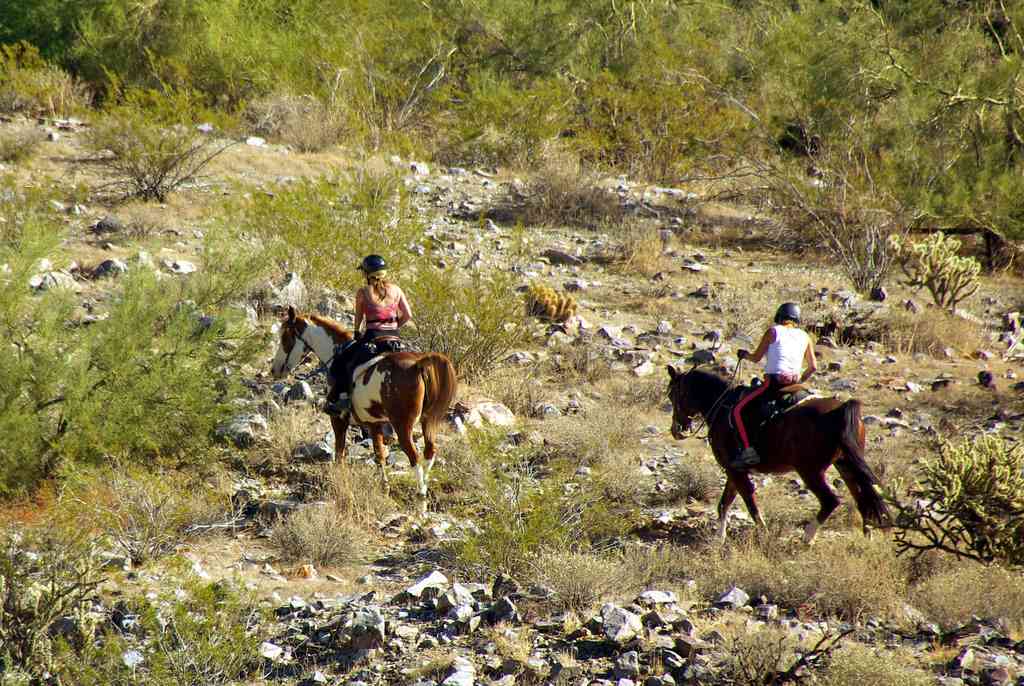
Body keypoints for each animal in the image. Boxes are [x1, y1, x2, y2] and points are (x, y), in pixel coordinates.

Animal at [276, 309, 460, 501]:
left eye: (285, 338)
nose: (275, 370)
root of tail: (418, 364)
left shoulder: (338, 420)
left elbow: (340, 452)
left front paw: (340, 481)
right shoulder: (374, 423)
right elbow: (379, 454)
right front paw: (384, 487)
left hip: (403, 425)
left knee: (414, 457)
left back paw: (420, 494)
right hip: (428, 421)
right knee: (430, 452)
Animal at [663, 368, 888, 544]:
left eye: (672, 395)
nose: (676, 430)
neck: (722, 406)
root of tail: (840, 409)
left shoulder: (734, 470)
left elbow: (748, 502)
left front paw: (763, 533)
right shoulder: (734, 470)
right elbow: (724, 503)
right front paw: (719, 538)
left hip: (810, 470)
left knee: (831, 500)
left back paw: (807, 538)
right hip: (845, 464)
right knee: (863, 497)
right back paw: (867, 538)